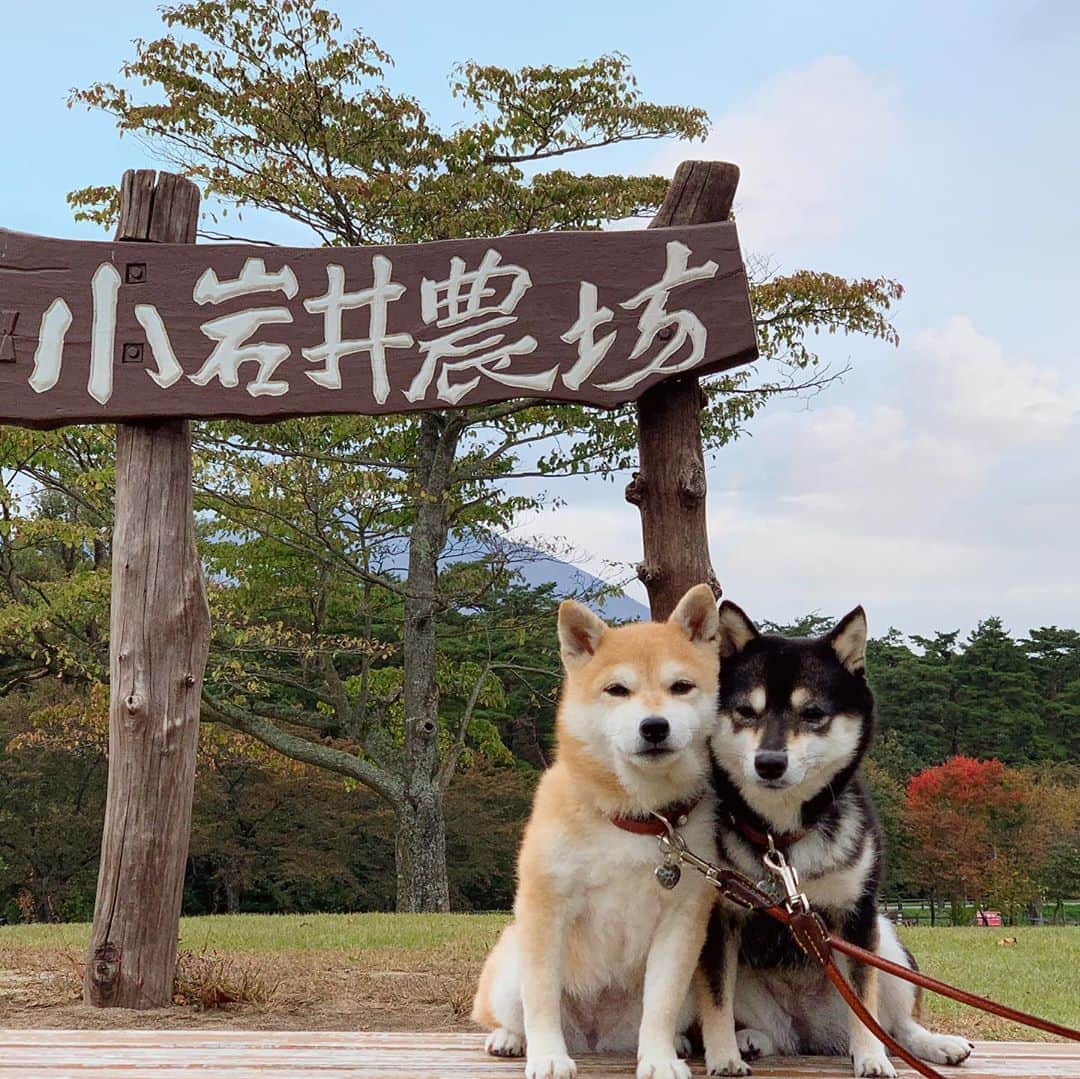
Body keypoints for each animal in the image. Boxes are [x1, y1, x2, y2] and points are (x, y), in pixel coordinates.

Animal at [475, 587, 721, 1079]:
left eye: (681, 687)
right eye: (617, 690)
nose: (654, 726)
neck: (638, 819)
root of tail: (594, 1036)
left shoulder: (681, 920)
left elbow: (660, 1005)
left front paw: (659, 1058)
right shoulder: (546, 907)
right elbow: (540, 999)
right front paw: (548, 1057)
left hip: (683, 996)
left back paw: (676, 1042)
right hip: (510, 962)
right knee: (511, 1012)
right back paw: (511, 1039)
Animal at [695, 604, 976, 1079]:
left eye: (812, 713)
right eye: (746, 711)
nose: (769, 762)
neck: (783, 841)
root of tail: (813, 1032)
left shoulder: (857, 915)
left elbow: (866, 1004)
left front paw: (871, 1059)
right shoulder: (719, 917)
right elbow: (715, 998)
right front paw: (723, 1057)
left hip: (888, 943)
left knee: (895, 1024)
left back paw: (934, 1044)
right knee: (776, 1035)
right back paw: (750, 1039)